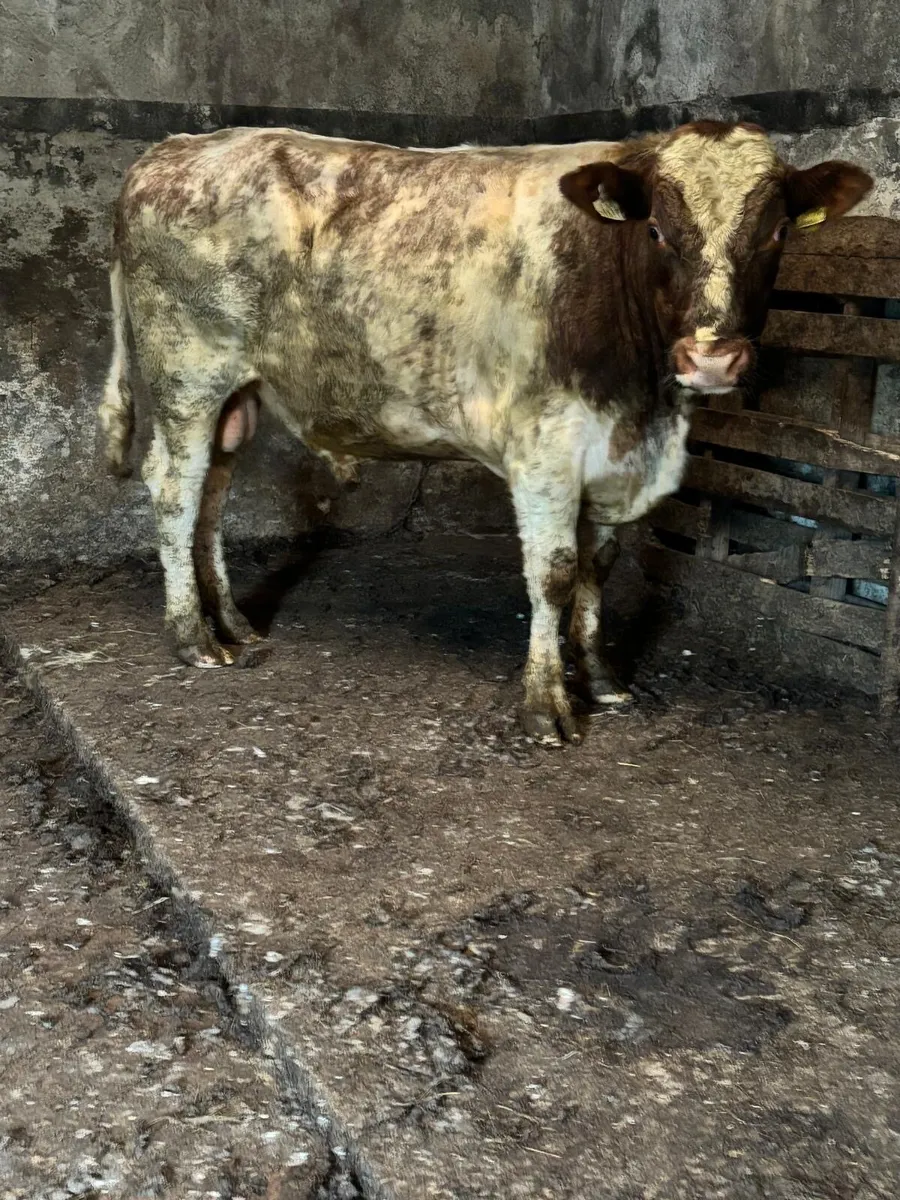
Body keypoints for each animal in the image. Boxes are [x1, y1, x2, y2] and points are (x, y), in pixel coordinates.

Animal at [98, 121, 872, 744]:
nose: (711, 358)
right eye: (656, 231)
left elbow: (599, 566)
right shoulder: (545, 448)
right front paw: (547, 704)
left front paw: (600, 677)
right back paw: (192, 637)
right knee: (174, 491)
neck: (646, 409)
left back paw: (231, 623)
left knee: (212, 499)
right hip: (189, 375)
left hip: (237, 395)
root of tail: (176, 149)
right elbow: (554, 572)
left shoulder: (612, 456)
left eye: (775, 232)